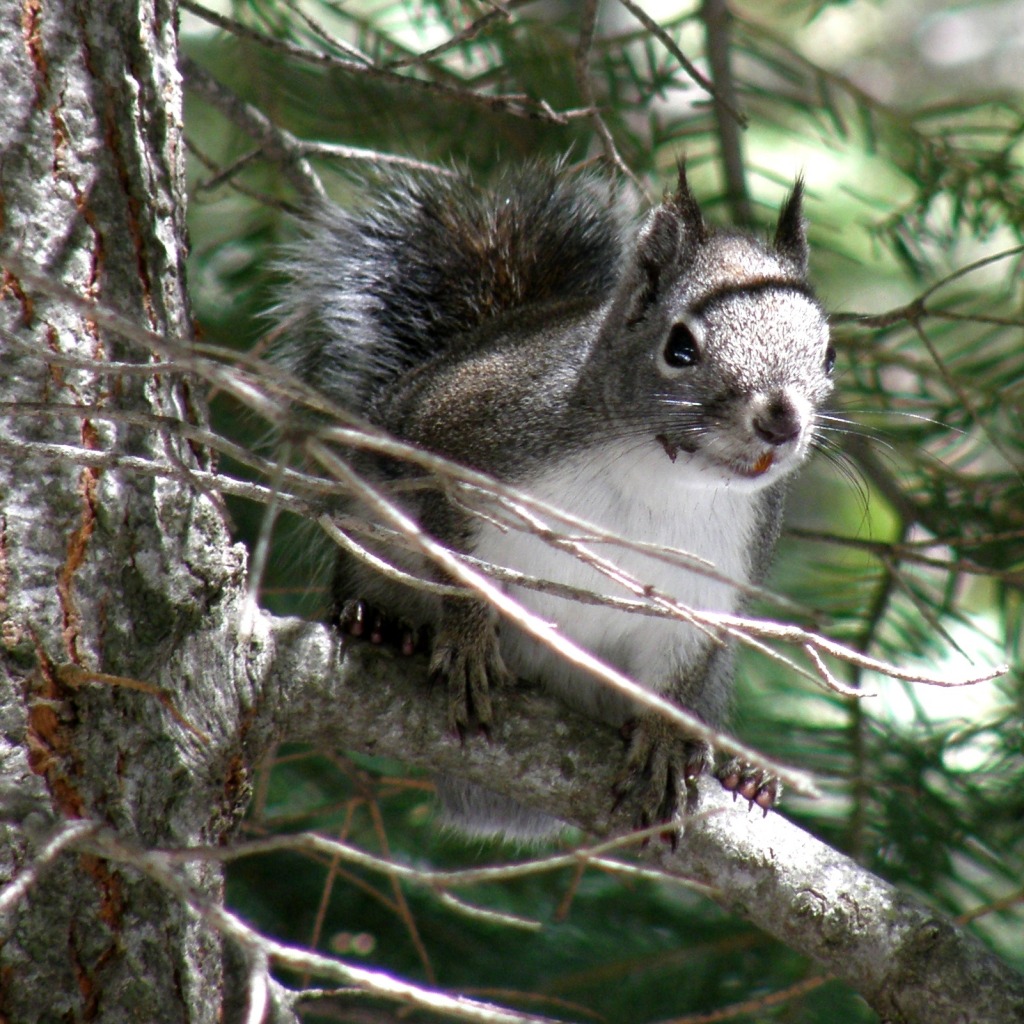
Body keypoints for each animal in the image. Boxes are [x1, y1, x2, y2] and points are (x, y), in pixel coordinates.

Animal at [272, 161, 831, 839]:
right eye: (680, 347)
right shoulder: (461, 443)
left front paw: (667, 738)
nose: (781, 421)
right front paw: (467, 641)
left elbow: (680, 668)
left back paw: (741, 772)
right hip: (370, 525)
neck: (663, 475)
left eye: (828, 353)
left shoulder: (713, 582)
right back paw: (377, 622)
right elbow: (456, 563)